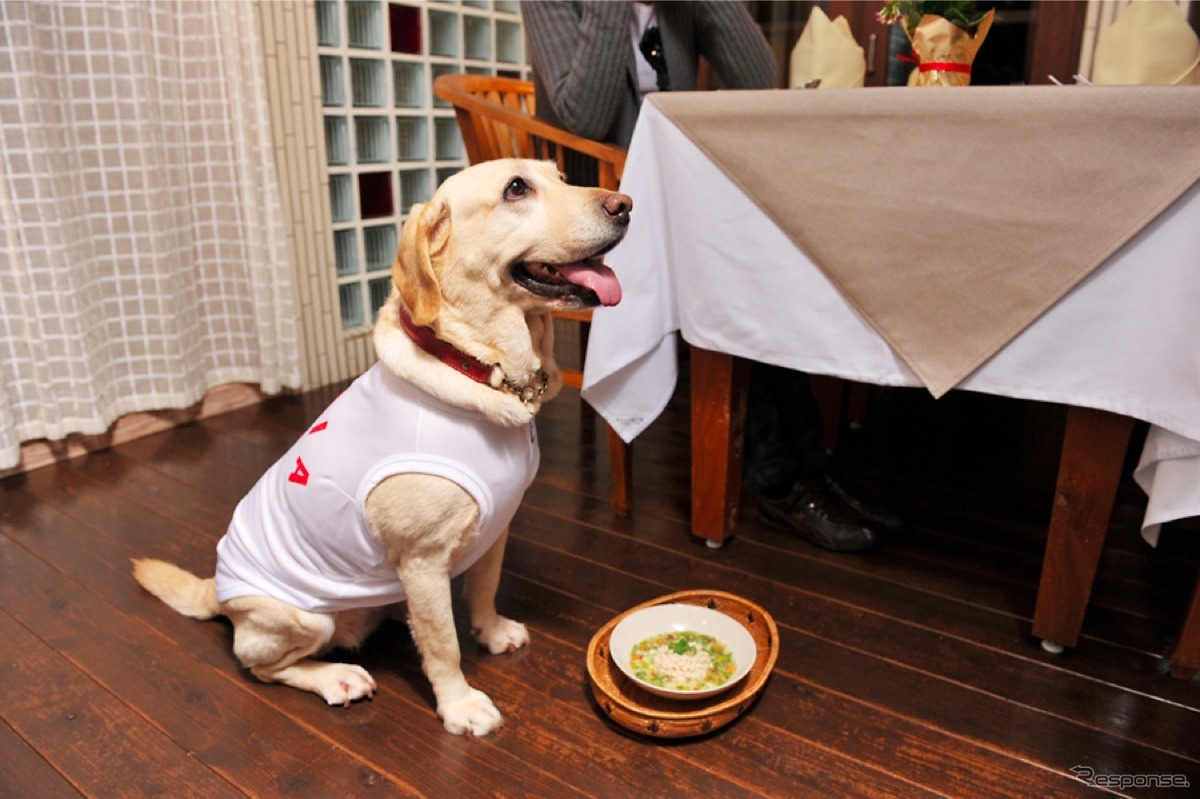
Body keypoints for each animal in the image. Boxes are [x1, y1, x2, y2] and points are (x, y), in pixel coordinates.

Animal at [133, 157, 628, 734]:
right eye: (515, 189)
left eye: (562, 176)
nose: (625, 204)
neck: (477, 367)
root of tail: (218, 591)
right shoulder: (423, 560)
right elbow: (443, 644)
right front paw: (459, 706)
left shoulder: (496, 528)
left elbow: (483, 591)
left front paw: (492, 632)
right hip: (300, 618)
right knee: (259, 666)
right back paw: (336, 678)